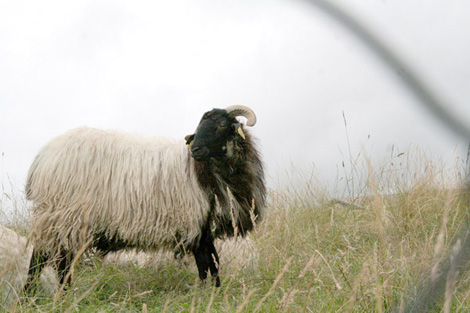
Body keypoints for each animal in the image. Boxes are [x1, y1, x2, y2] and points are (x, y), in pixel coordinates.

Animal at [25, 105, 266, 288]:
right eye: (200, 126)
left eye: (222, 124)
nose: (195, 149)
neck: (207, 169)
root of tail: (43, 157)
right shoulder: (197, 224)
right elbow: (207, 265)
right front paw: (210, 294)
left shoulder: (203, 230)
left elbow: (210, 266)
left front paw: (211, 292)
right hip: (63, 216)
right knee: (50, 260)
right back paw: (54, 294)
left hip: (56, 218)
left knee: (47, 258)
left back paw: (37, 295)